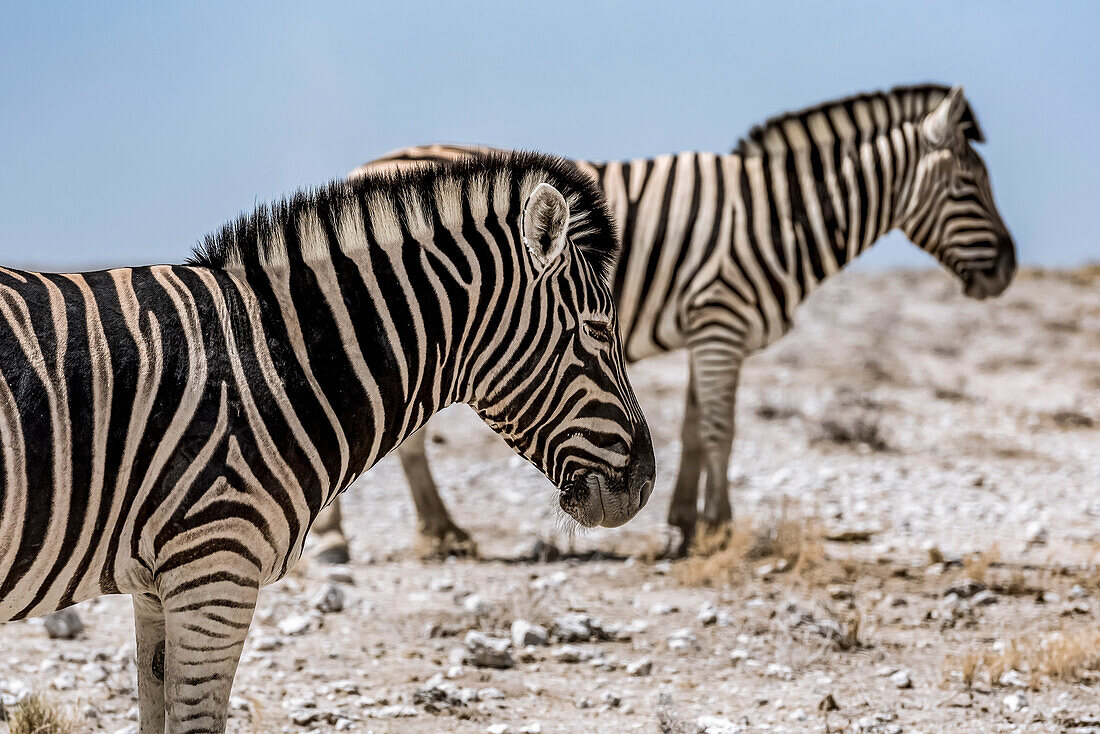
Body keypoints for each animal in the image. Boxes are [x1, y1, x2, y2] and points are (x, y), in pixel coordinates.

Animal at [316, 83, 1012, 559]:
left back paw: (435, 530)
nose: (1008, 269)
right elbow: (722, 429)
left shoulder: (712, 328)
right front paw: (720, 529)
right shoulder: (721, 320)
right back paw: (352, 537)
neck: (780, 216)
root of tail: (362, 169)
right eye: (970, 185)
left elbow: (694, 426)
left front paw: (685, 522)